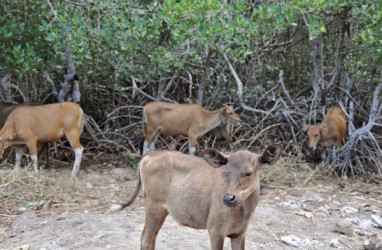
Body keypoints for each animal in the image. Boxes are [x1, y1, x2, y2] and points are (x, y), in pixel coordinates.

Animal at [108, 144, 284, 249]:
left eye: (248, 172)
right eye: (226, 172)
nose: (228, 198)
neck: (243, 212)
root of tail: (149, 155)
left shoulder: (239, 234)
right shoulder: (215, 230)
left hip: (163, 209)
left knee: (152, 237)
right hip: (153, 205)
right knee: (145, 238)